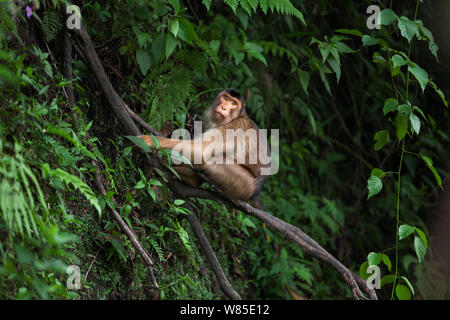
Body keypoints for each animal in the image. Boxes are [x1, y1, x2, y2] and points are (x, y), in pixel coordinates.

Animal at [139, 90, 270, 210]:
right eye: (225, 98)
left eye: (233, 103)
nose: (224, 107)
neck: (236, 117)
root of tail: (256, 192)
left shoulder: (235, 126)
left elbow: (200, 151)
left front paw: (153, 141)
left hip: (243, 185)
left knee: (211, 159)